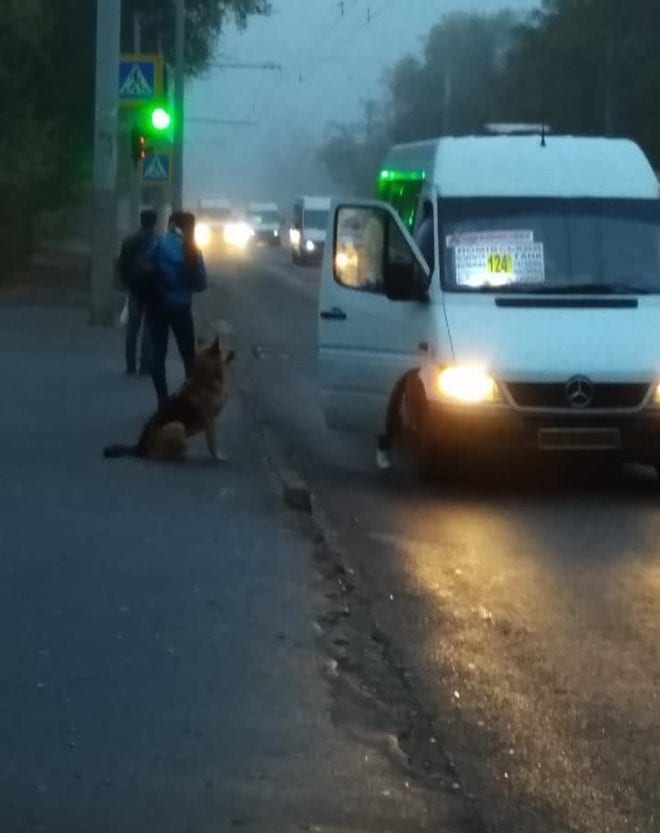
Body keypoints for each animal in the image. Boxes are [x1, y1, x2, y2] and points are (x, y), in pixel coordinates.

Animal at [104, 338, 236, 462]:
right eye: (224, 347)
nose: (235, 350)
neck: (205, 380)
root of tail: (139, 446)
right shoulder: (210, 422)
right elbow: (212, 443)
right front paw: (217, 457)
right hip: (177, 427)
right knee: (156, 454)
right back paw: (179, 454)